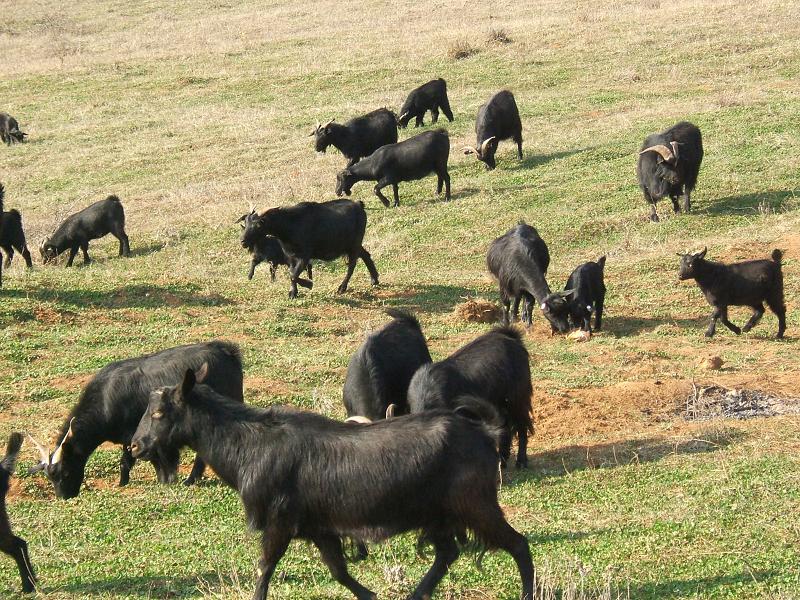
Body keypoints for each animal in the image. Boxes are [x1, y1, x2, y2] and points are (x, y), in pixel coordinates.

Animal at [27, 340, 244, 500]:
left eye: (65, 472)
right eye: (50, 477)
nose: (64, 497)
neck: (105, 400)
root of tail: (227, 351)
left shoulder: (140, 436)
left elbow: (137, 460)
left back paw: (191, 479)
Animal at [130, 366, 532, 600]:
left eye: (159, 412)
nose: (136, 445)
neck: (250, 445)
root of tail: (484, 432)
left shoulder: (280, 522)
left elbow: (264, 568)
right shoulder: (318, 526)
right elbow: (339, 571)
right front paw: (370, 596)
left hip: (476, 505)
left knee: (518, 545)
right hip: (439, 515)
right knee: (447, 554)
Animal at [241, 200, 378, 298]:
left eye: (259, 224)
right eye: (246, 223)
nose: (243, 241)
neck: (290, 224)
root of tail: (359, 205)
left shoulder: (304, 256)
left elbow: (293, 274)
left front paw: (308, 284)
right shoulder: (291, 257)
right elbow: (292, 273)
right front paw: (293, 292)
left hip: (354, 245)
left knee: (352, 266)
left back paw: (342, 288)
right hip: (352, 245)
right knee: (366, 255)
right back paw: (374, 280)